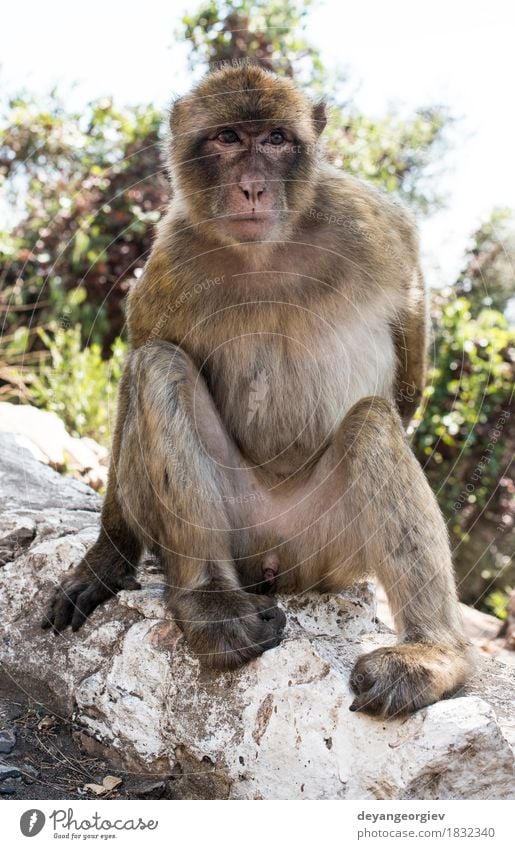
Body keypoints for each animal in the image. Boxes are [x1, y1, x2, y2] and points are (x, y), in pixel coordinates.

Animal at [44, 66, 472, 716]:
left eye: (274, 139)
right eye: (226, 138)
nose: (251, 188)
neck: (266, 250)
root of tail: (278, 566)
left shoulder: (375, 223)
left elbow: (408, 363)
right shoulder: (170, 258)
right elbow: (142, 358)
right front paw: (108, 556)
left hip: (328, 548)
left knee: (373, 422)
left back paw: (432, 654)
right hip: (243, 531)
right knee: (160, 369)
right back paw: (213, 605)